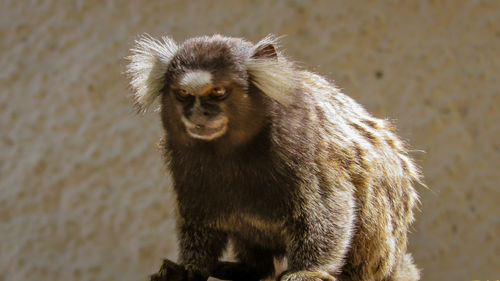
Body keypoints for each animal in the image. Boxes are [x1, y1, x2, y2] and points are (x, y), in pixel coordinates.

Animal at [126, 33, 422, 280]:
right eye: (183, 94)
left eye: (218, 92)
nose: (197, 115)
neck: (232, 152)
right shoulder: (185, 164)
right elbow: (199, 221)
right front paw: (191, 266)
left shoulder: (306, 146)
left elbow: (329, 207)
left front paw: (308, 270)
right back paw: (248, 269)